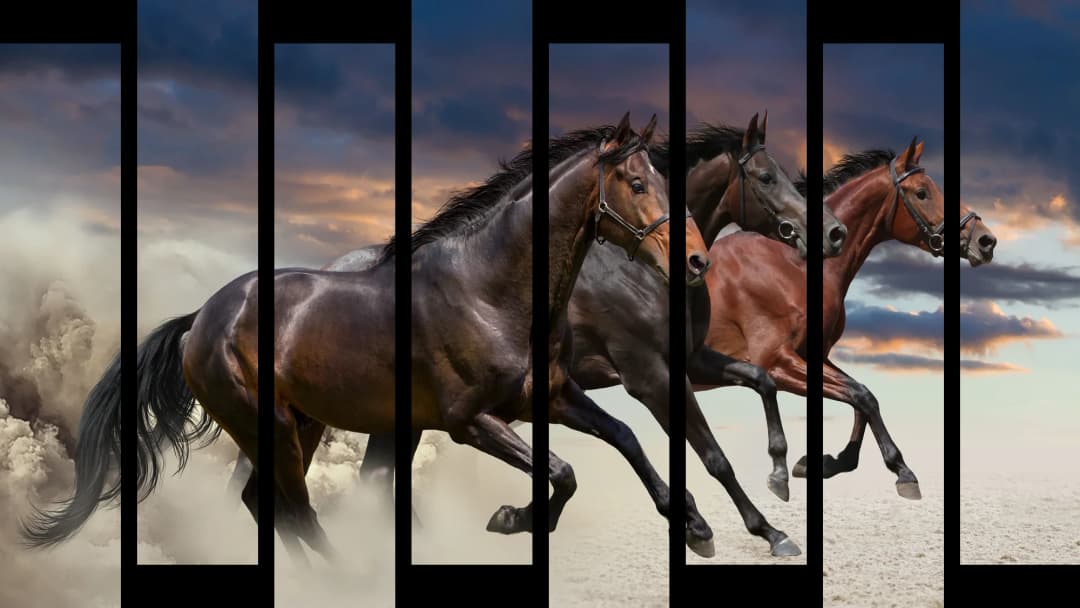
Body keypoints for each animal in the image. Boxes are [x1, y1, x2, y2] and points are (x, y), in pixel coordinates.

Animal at [21, 114, 716, 565]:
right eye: (635, 183)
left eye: (662, 179)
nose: (696, 261)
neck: (488, 290)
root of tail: (201, 318)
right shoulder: (471, 422)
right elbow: (565, 472)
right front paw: (511, 519)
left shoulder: (548, 398)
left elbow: (622, 439)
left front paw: (695, 526)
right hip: (268, 424)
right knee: (293, 509)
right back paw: (349, 580)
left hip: (299, 424)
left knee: (263, 502)